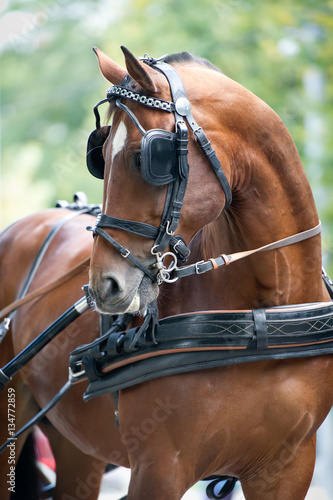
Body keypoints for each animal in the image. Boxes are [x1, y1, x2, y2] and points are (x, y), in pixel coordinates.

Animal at [86, 47, 333, 500]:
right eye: (100, 156)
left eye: (144, 158)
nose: (103, 285)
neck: (262, 318)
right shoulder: (159, 467)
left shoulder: (289, 467)